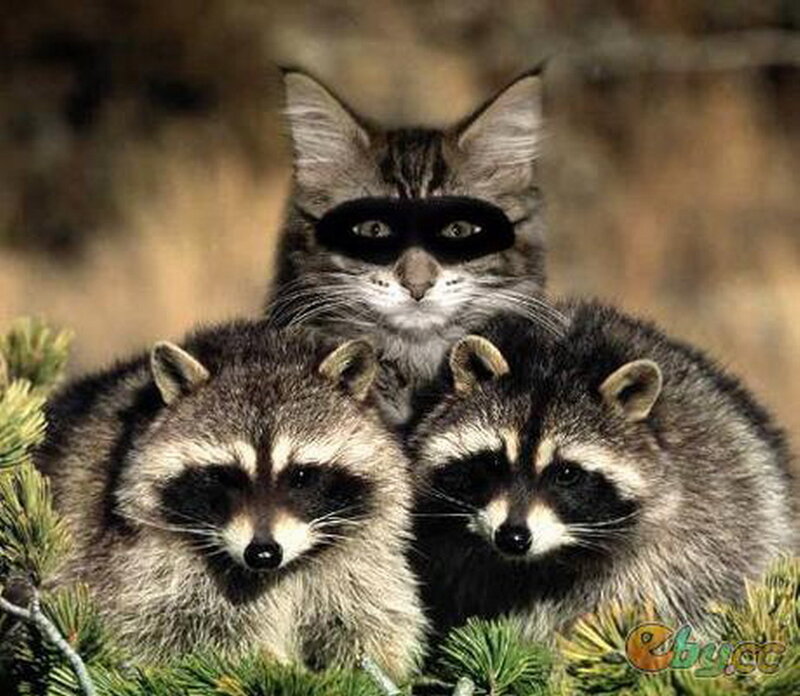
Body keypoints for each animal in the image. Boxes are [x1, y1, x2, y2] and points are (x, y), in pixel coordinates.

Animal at [35, 321, 426, 678]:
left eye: (301, 475)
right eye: (225, 476)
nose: (263, 553)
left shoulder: (359, 560)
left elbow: (369, 621)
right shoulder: (138, 562)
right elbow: (172, 632)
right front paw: (269, 663)